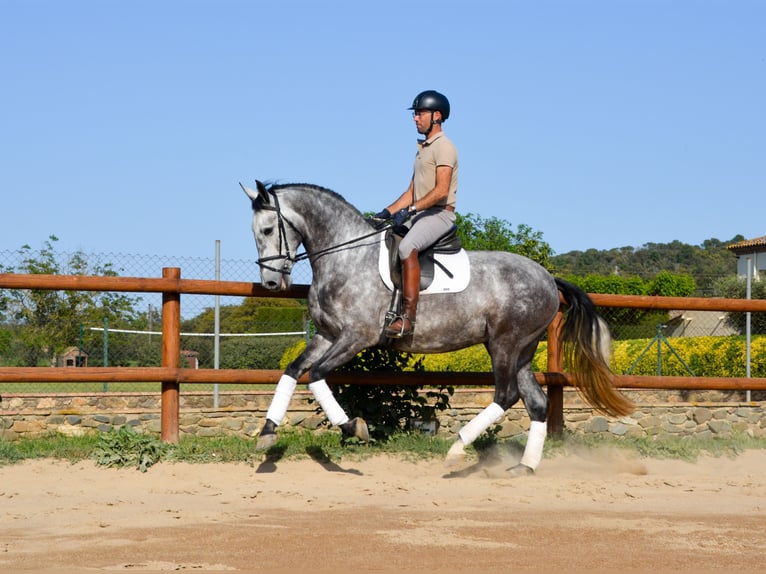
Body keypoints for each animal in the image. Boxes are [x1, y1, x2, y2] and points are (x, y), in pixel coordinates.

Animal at [241, 180, 633, 475]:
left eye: (268, 229)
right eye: (254, 233)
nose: (272, 284)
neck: (347, 257)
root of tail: (548, 278)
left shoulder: (355, 337)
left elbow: (317, 375)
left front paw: (354, 427)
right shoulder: (327, 335)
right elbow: (293, 371)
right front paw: (267, 432)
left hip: (505, 344)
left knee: (506, 396)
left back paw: (457, 449)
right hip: (520, 350)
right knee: (536, 403)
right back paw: (524, 467)